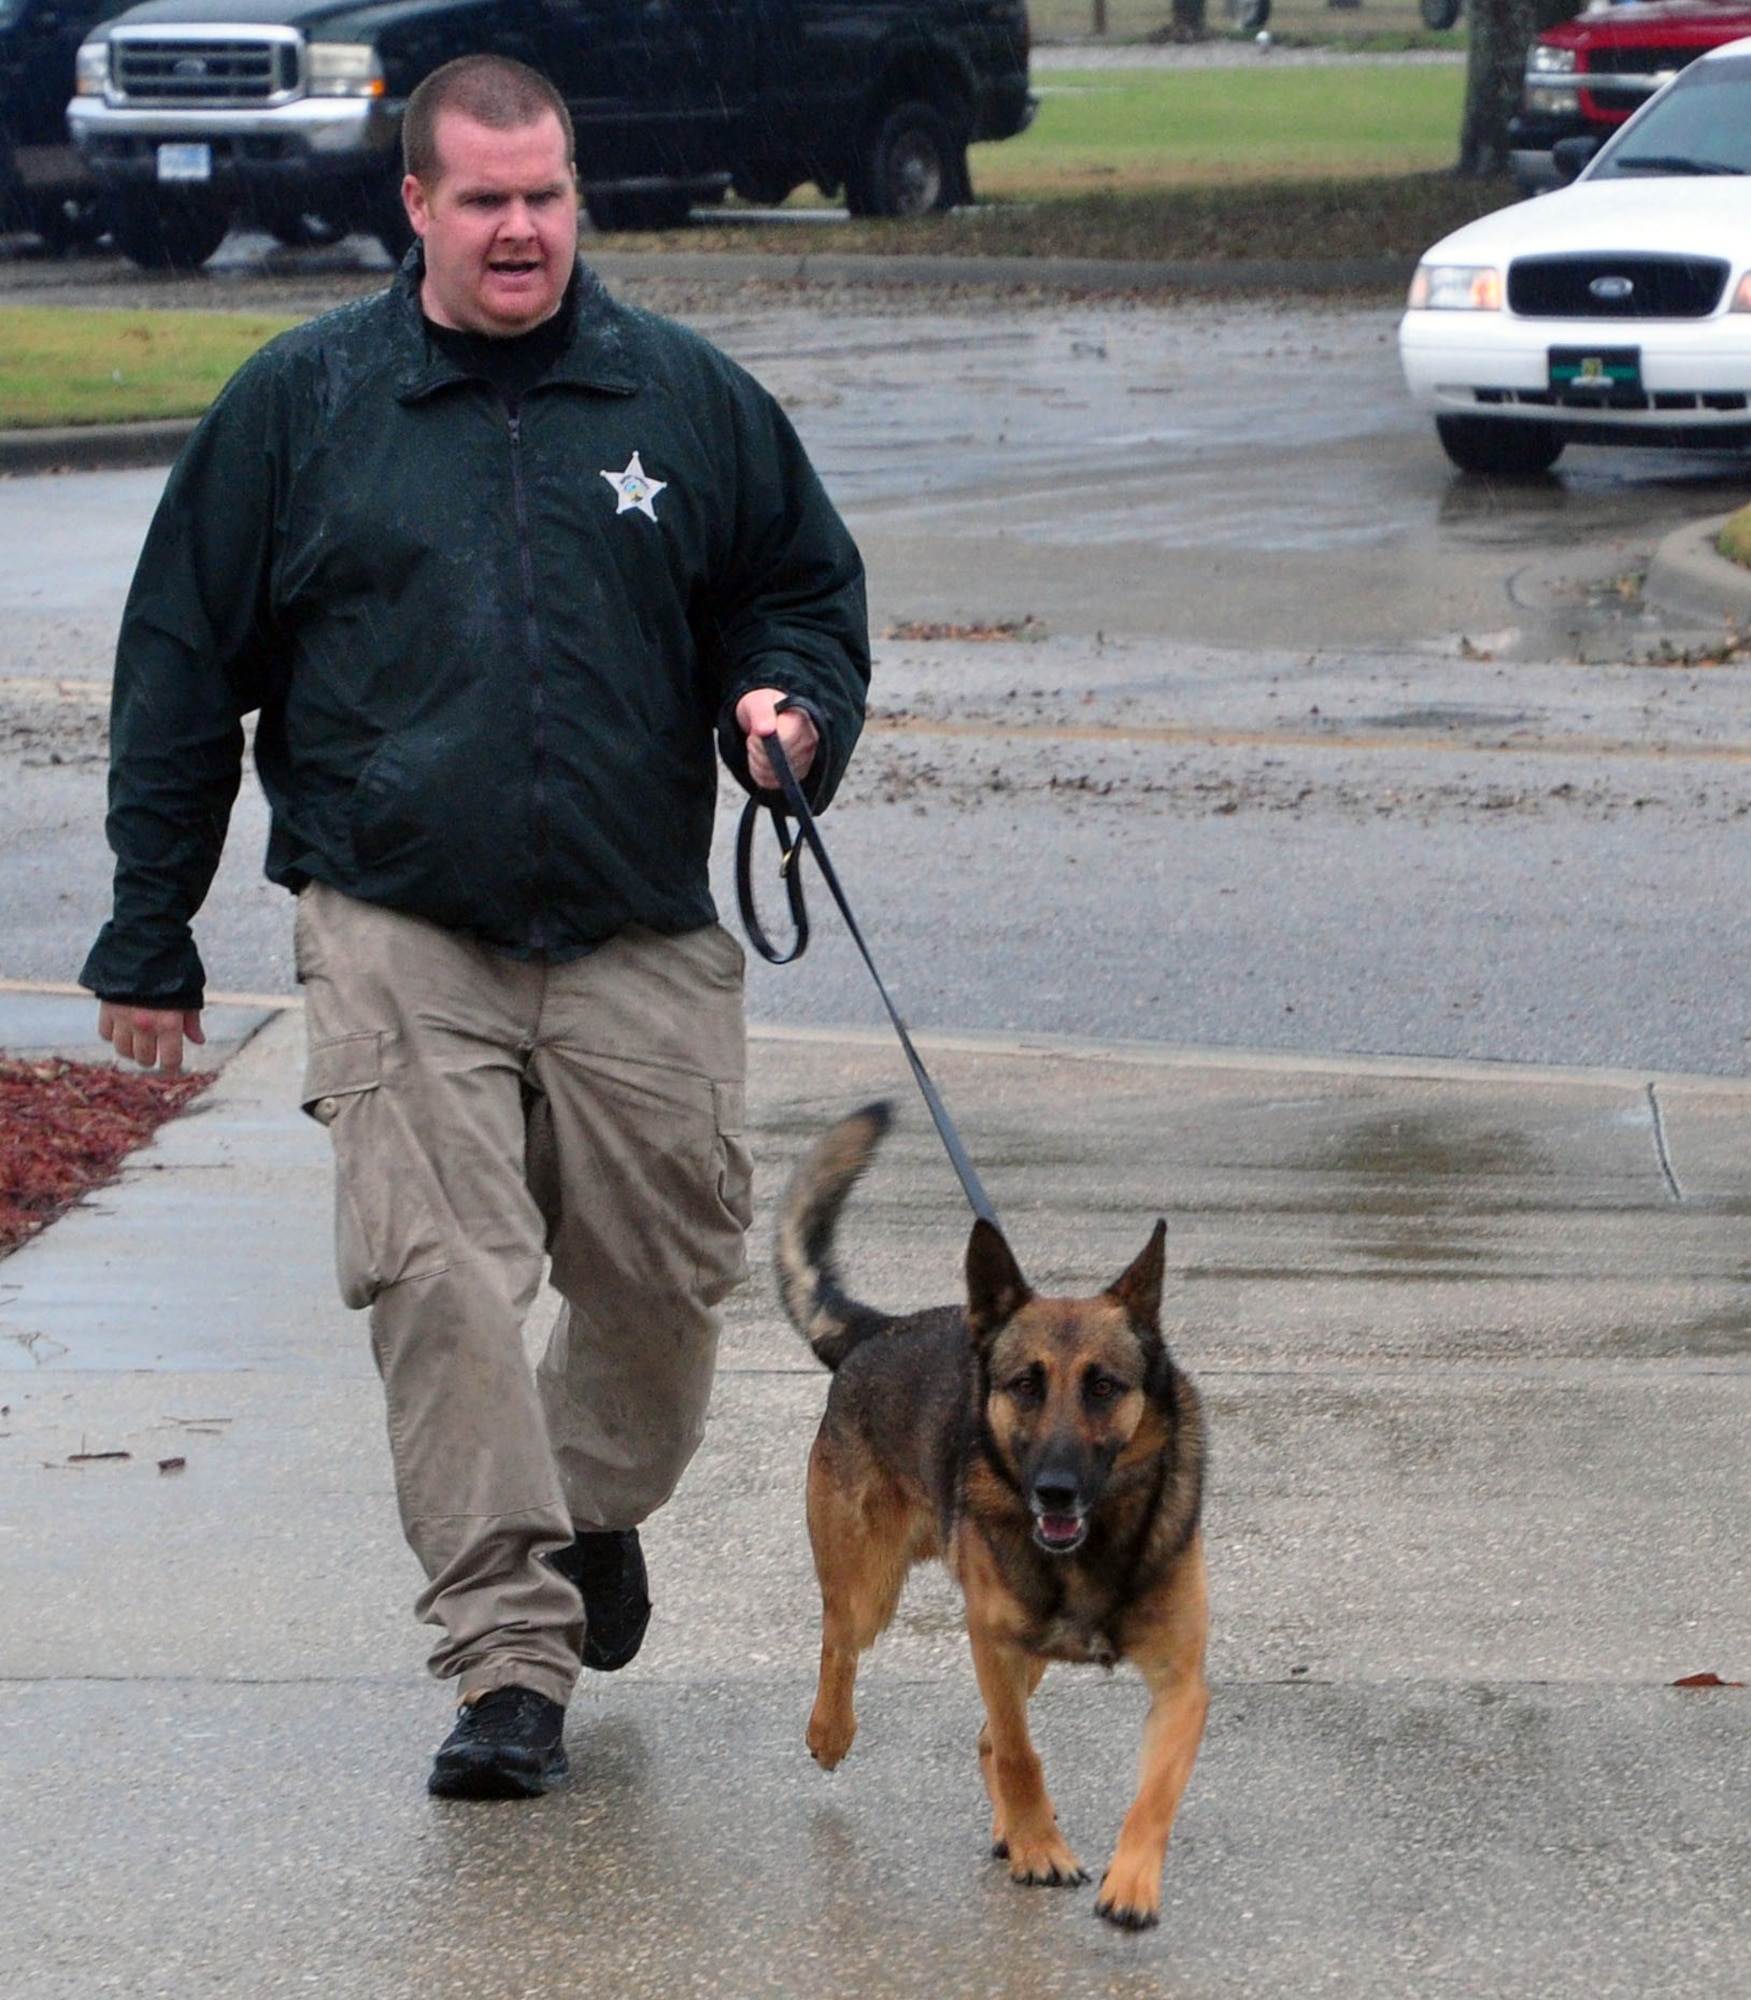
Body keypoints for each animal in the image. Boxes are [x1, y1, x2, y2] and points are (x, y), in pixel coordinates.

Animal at [771, 1104, 1207, 1928]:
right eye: (1024, 1385)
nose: (1055, 1491)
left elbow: (1156, 1793)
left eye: (1104, 1386)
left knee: (979, 1737)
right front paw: (1042, 1848)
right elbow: (1018, 1752)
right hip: (872, 1589)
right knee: (840, 1644)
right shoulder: (992, 1640)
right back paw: (829, 1730)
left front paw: (1130, 1882)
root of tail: (880, 1328)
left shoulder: (1180, 1681)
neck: (1093, 1546)